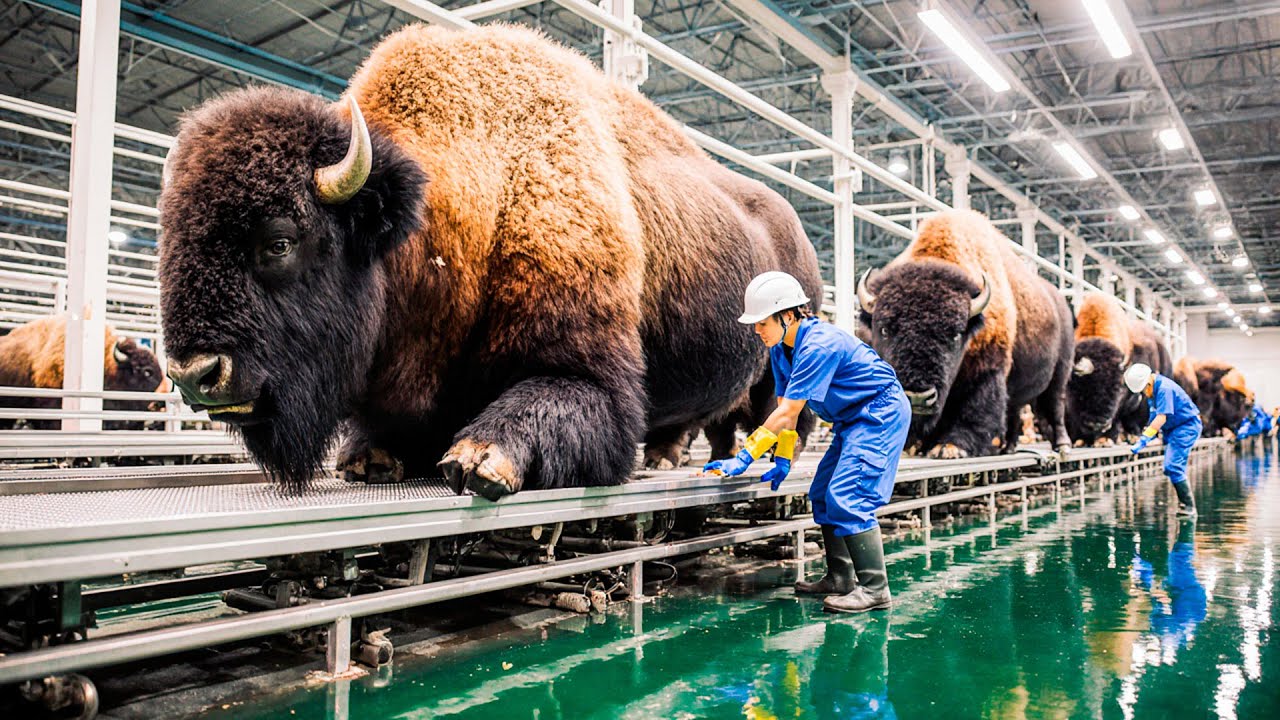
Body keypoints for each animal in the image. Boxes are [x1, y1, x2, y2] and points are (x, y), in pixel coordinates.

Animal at [158, 25, 821, 499]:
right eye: (170, 240)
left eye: (279, 242)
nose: (194, 375)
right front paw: (367, 459)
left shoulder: (596, 378)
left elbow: (566, 405)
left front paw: (481, 460)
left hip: (780, 366)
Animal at [857, 210, 1073, 458]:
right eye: (884, 329)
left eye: (955, 335)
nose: (918, 397)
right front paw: (913, 446)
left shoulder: (987, 370)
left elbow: (974, 410)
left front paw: (949, 448)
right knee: (1015, 411)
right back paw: (1007, 448)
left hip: (1060, 372)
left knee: (1055, 404)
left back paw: (1063, 445)